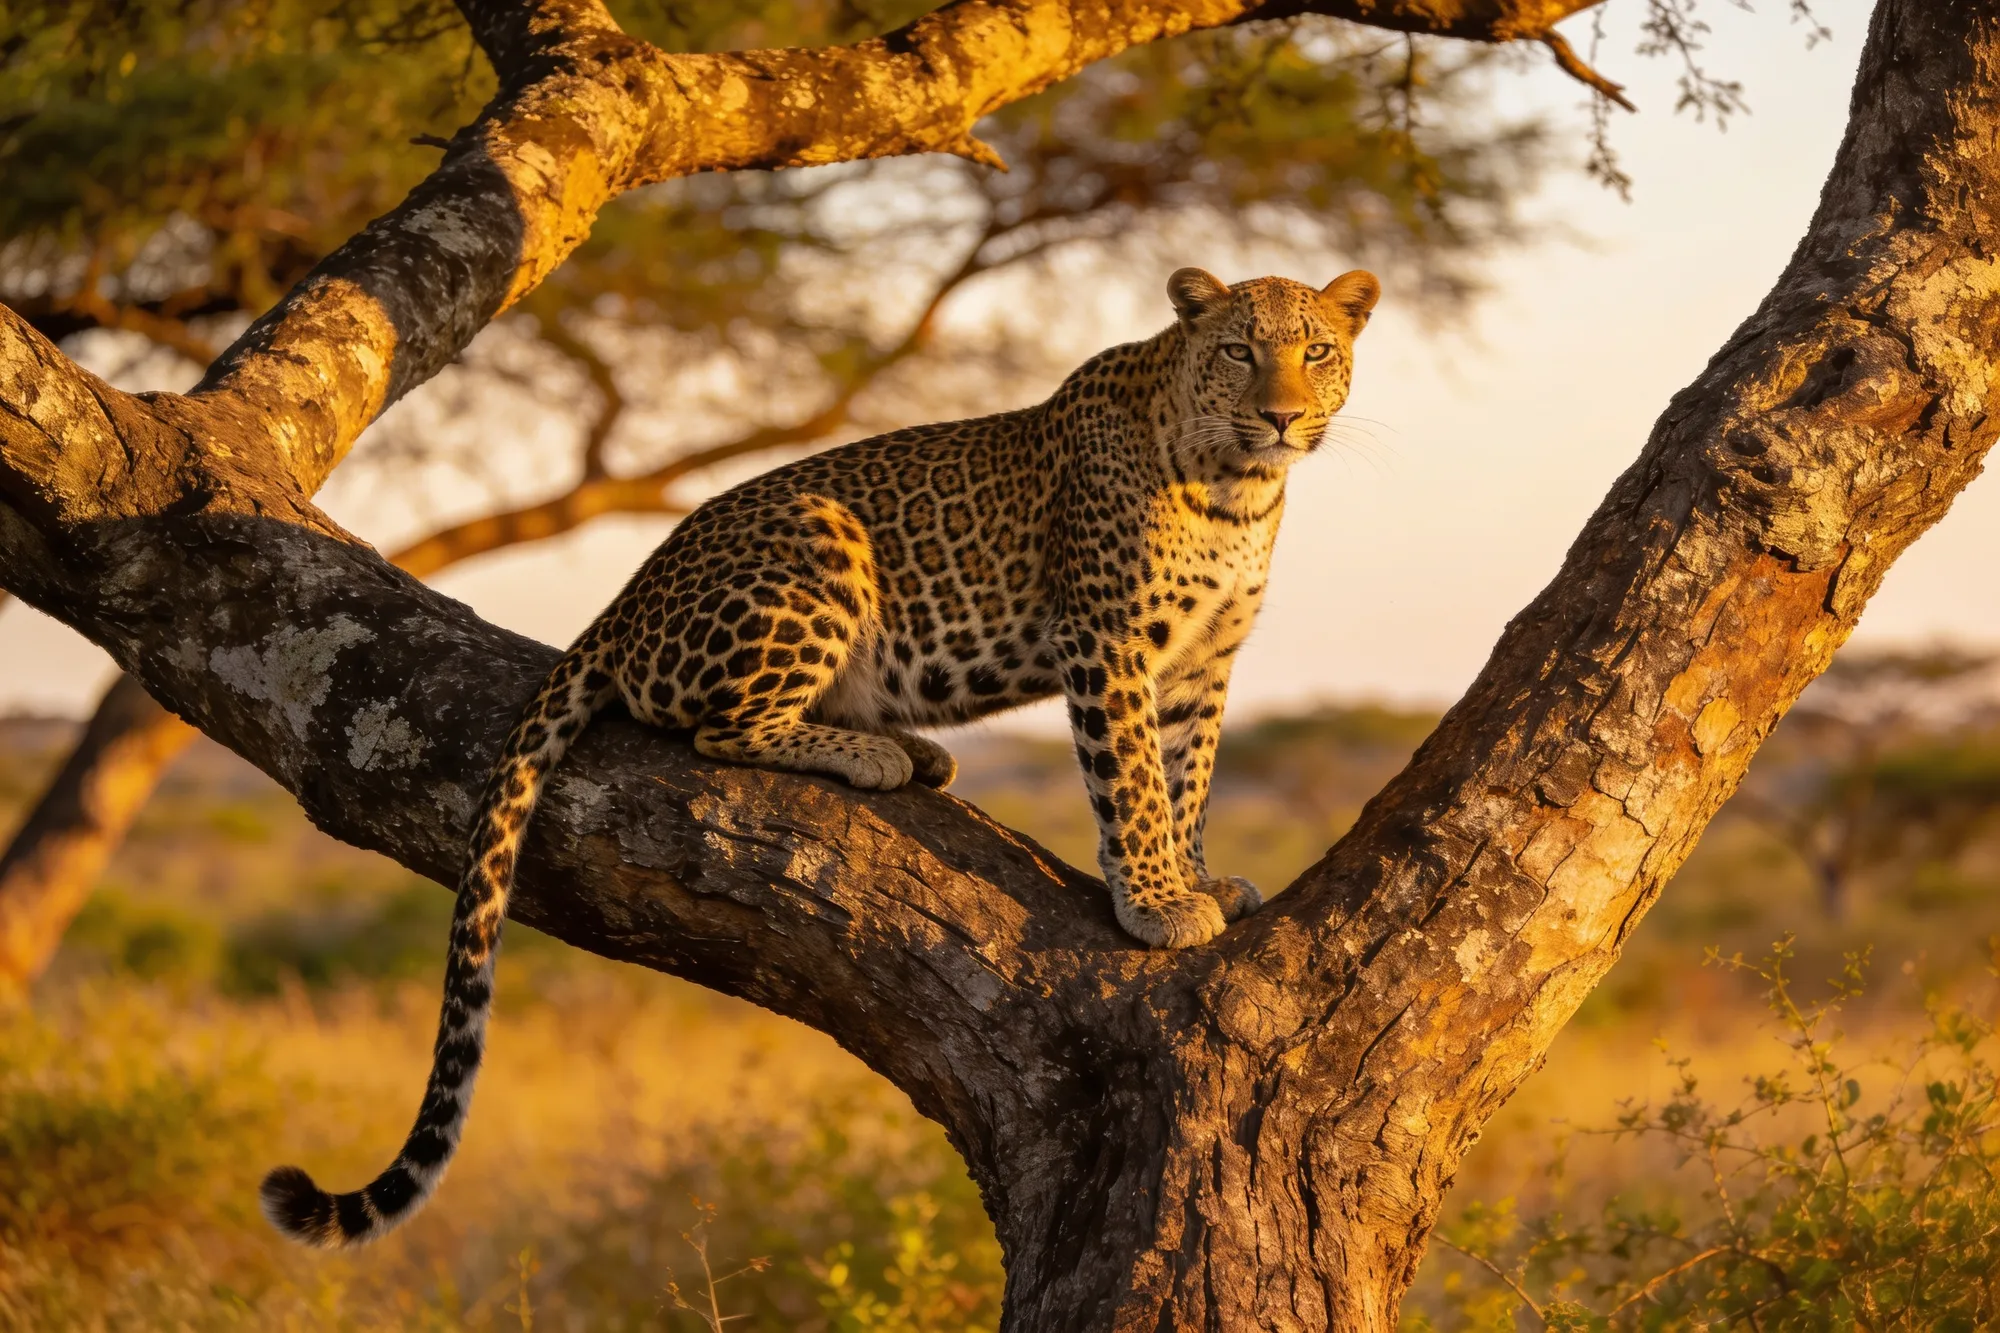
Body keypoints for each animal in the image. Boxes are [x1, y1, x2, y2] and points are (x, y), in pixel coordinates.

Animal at [260, 265, 1380, 1247]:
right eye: (1239, 352)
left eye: (1316, 351)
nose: (1282, 417)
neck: (1238, 491)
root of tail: (622, 602)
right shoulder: (1106, 643)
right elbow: (1134, 782)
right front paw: (1153, 901)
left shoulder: (1203, 666)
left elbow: (1188, 779)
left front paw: (1197, 876)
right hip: (816, 534)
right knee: (719, 727)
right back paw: (877, 756)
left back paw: (910, 748)